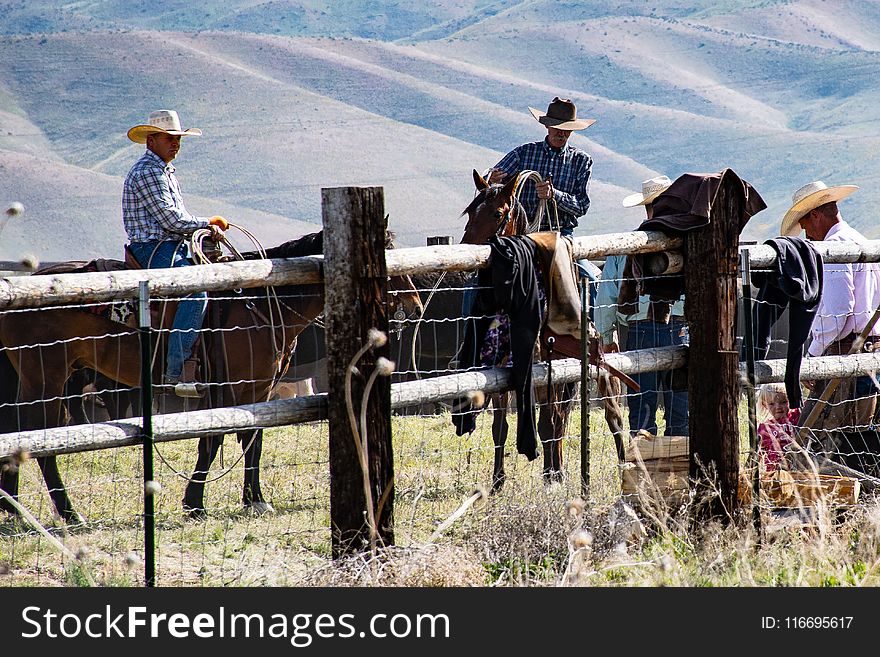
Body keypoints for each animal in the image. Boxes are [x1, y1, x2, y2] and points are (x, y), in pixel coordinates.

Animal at [0, 231, 422, 524]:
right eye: (382, 253)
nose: (416, 305)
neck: (256, 302)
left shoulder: (260, 388)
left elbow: (252, 440)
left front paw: (254, 499)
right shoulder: (230, 387)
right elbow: (215, 438)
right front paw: (195, 503)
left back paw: (15, 507)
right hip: (46, 376)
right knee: (39, 435)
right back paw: (65, 513)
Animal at [458, 169, 580, 486]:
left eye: (498, 213)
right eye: (469, 211)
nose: (465, 258)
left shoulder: (542, 366)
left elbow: (547, 422)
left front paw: (550, 476)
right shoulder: (500, 364)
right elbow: (499, 427)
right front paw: (497, 480)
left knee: (558, 418)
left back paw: (556, 470)